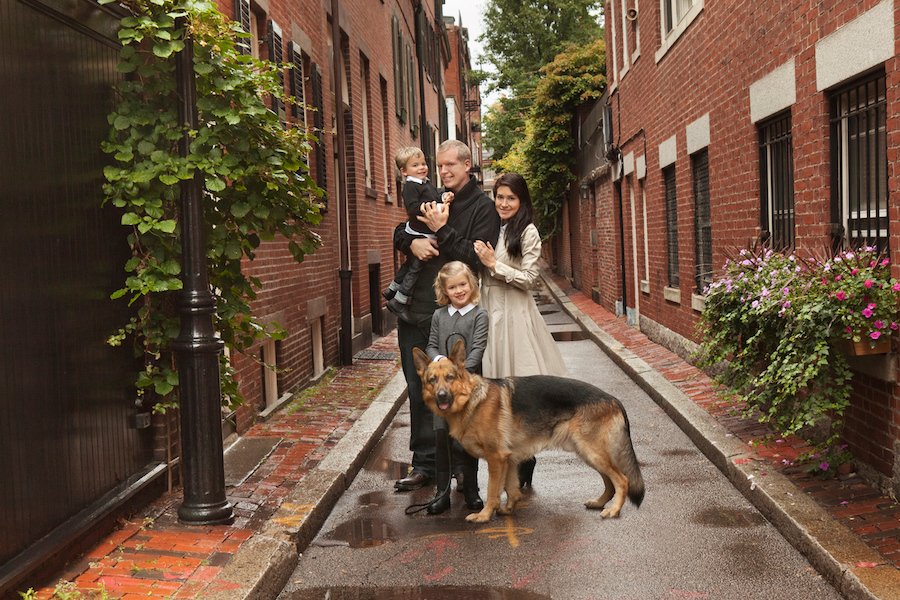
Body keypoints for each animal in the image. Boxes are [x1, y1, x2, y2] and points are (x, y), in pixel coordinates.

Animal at [414, 340, 648, 524]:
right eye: (432, 380)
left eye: (450, 377)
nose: (441, 396)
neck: (472, 400)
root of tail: (613, 399)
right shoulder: (508, 459)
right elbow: (510, 487)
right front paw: (508, 508)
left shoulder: (496, 458)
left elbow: (492, 490)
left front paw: (484, 515)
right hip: (588, 453)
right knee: (610, 482)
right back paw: (599, 502)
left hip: (592, 452)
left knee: (622, 480)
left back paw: (613, 510)